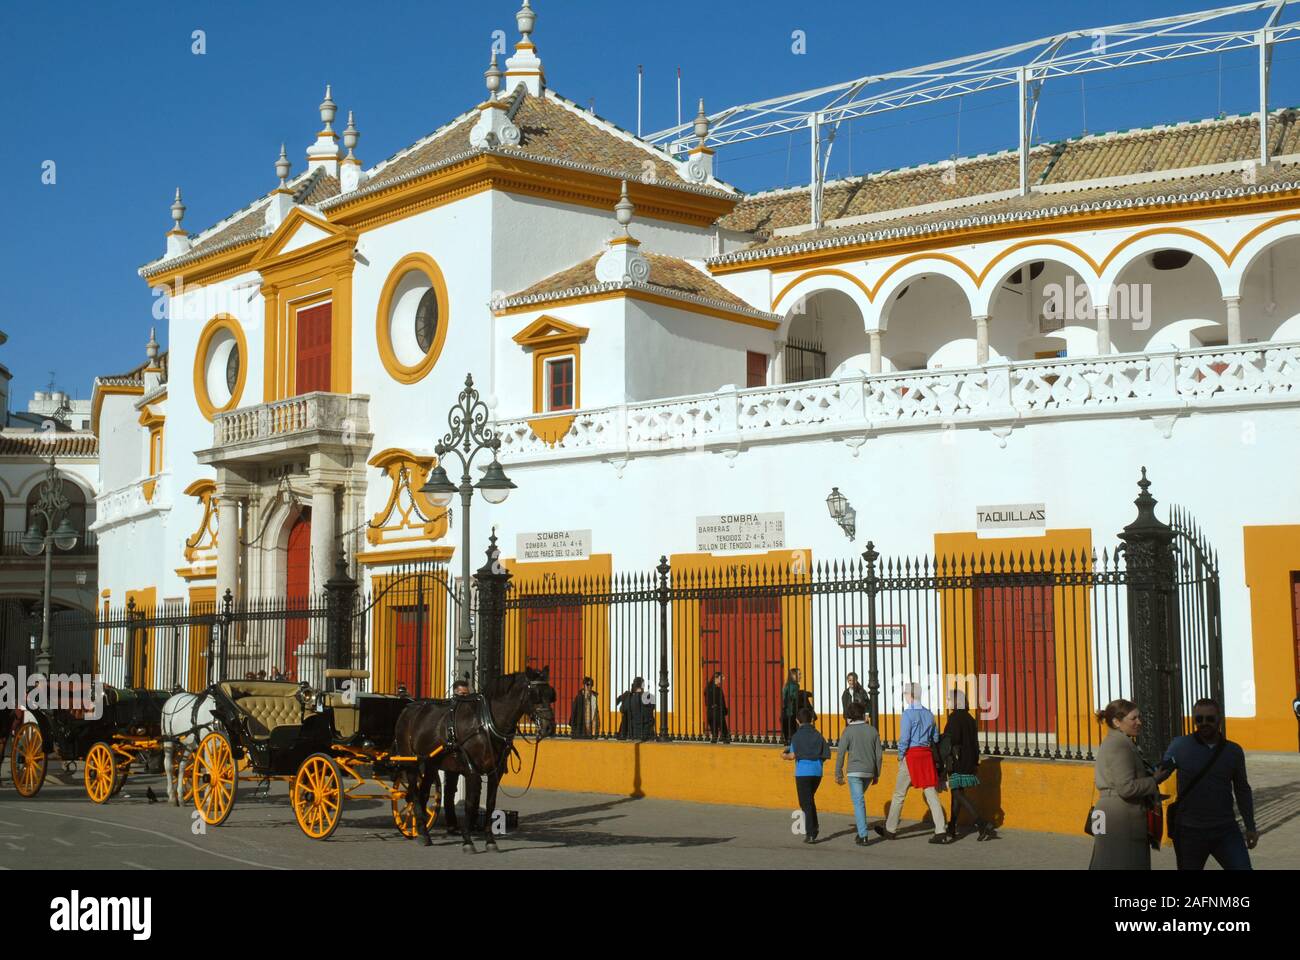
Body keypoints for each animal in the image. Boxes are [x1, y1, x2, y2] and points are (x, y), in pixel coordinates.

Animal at [390, 671, 553, 848]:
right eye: (536, 695)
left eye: (551, 695)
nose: (549, 727)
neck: (485, 724)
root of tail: (409, 707)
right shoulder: (471, 770)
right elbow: (469, 804)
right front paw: (467, 841)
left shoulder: (495, 772)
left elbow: (489, 803)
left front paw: (490, 840)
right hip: (410, 762)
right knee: (413, 794)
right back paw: (422, 833)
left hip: (430, 763)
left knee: (423, 793)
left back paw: (423, 831)